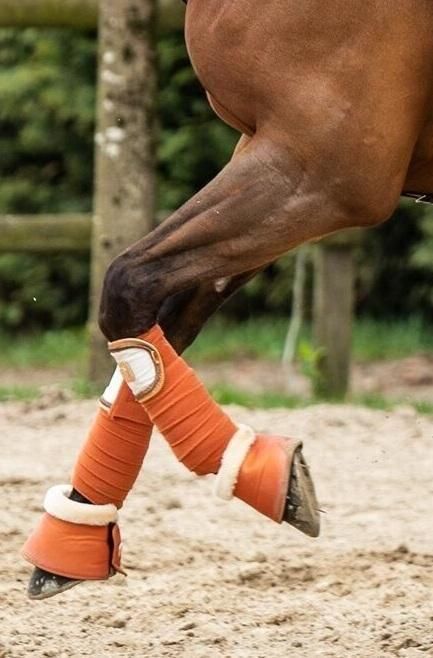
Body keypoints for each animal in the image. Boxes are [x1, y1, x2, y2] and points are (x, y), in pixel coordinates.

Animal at [23, 0, 433, 599]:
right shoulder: (270, 158)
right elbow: (157, 328)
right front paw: (73, 539)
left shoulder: (320, 174)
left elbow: (126, 287)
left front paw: (269, 474)